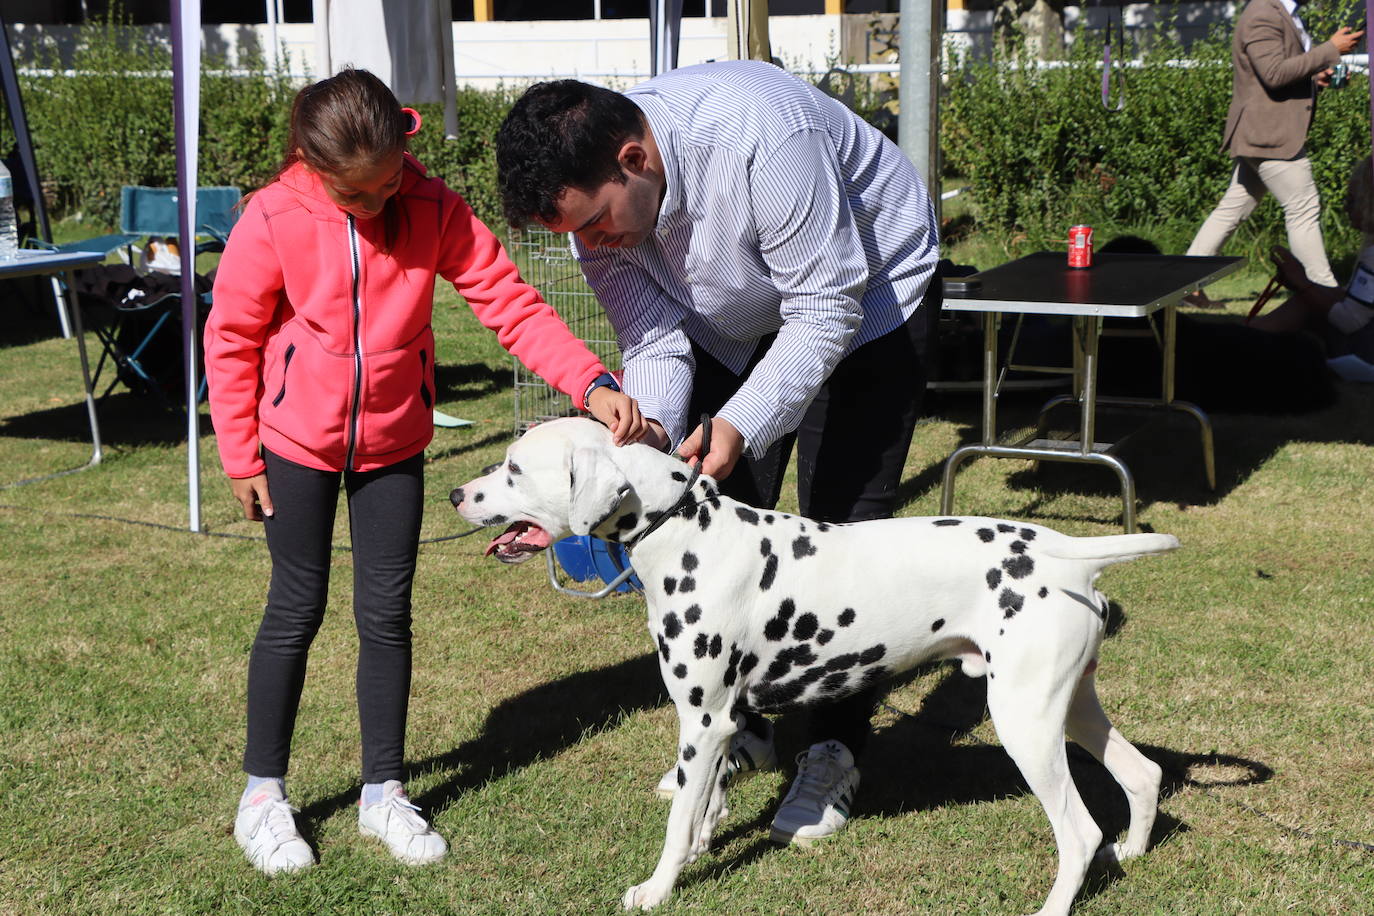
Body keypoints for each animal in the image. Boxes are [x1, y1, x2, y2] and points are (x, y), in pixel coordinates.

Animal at [447, 420, 1170, 911]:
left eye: (513, 468)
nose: (455, 493)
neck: (687, 531)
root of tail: (1065, 554)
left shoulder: (702, 723)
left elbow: (678, 823)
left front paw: (657, 887)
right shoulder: (726, 722)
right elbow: (706, 805)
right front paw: (704, 845)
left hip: (1026, 726)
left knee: (1079, 833)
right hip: (1069, 709)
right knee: (1143, 775)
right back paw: (1132, 852)